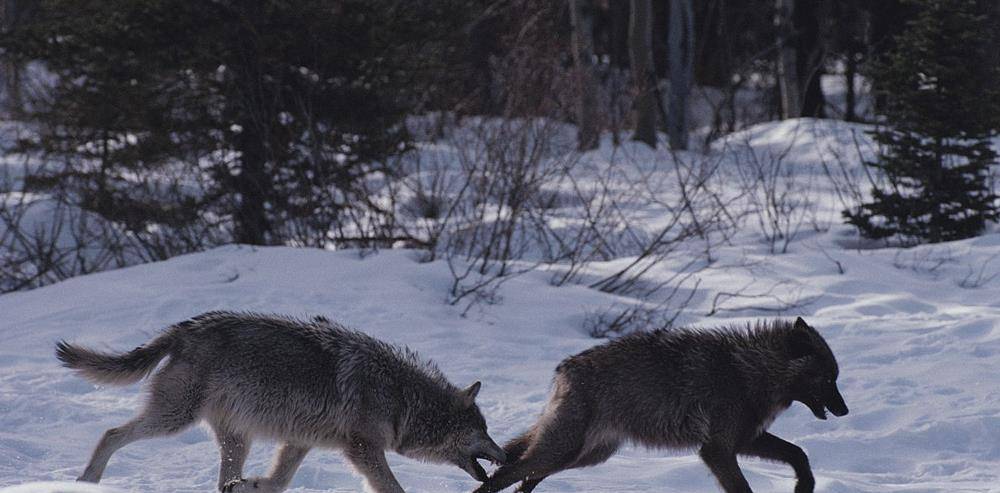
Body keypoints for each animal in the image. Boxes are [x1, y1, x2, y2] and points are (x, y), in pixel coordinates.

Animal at [474, 318, 844, 490]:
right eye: (828, 379)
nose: (845, 410)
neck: (749, 370)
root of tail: (564, 368)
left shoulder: (745, 440)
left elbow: (799, 454)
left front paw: (805, 486)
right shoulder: (716, 450)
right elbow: (743, 487)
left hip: (583, 456)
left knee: (523, 474)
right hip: (564, 451)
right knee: (505, 473)